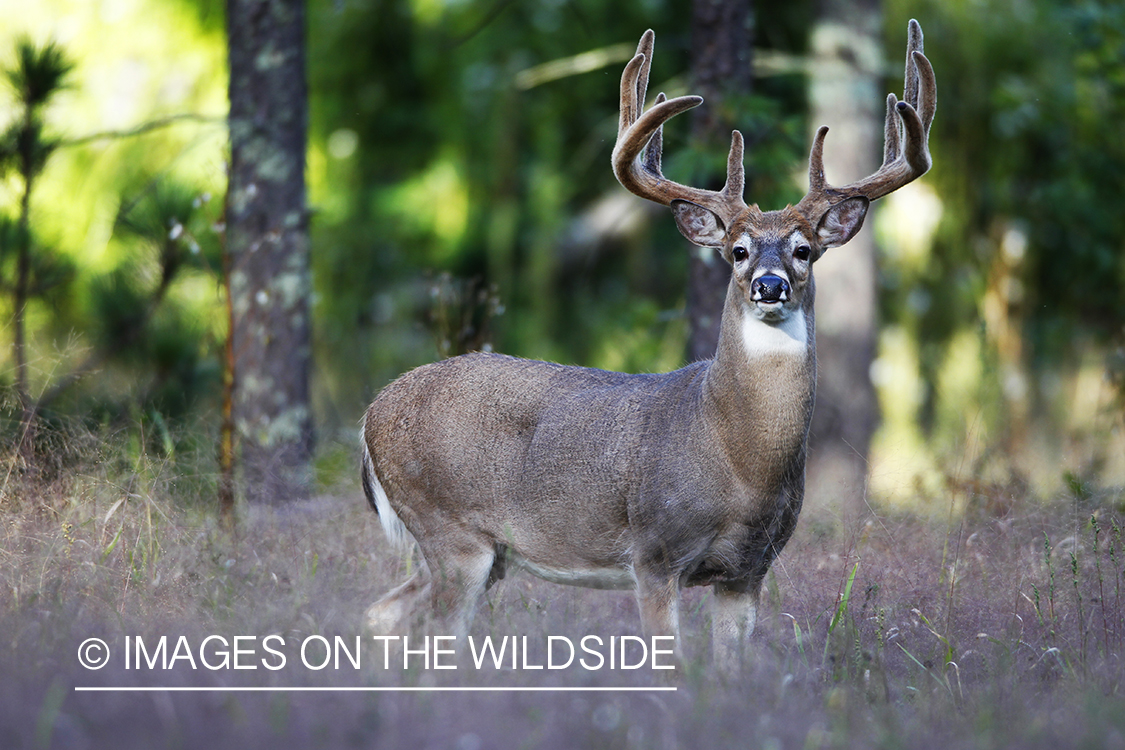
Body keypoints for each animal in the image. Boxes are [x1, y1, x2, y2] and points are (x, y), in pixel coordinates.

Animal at [357, 19, 931, 661]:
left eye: (804, 249)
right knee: (432, 627)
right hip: (450, 528)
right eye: (737, 250)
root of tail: (370, 415)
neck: (735, 457)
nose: (770, 284)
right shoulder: (655, 553)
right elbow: (669, 663)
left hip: (485, 552)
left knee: (384, 613)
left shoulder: (748, 571)